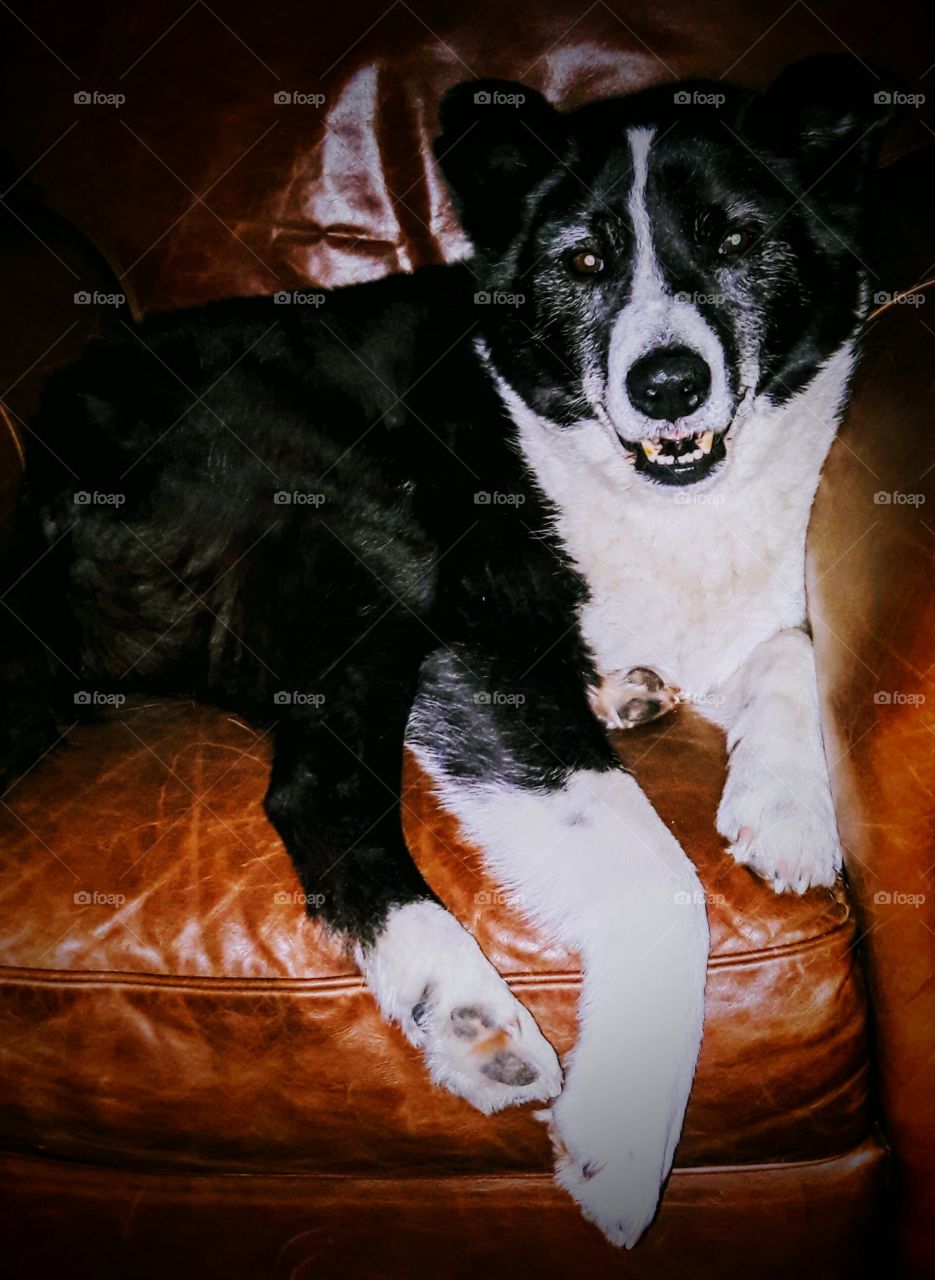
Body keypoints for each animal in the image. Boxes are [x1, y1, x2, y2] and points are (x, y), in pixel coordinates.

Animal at [1, 55, 896, 1244]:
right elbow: (661, 881)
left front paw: (786, 801)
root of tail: (36, 511)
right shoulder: (477, 644)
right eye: (582, 261)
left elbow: (787, 641)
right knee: (316, 789)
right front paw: (623, 1139)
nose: (666, 386)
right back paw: (467, 1007)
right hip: (366, 513)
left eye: (737, 240)